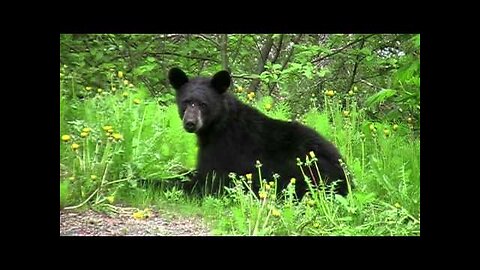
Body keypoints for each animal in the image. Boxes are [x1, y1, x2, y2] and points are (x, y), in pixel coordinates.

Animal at [169, 67, 352, 198]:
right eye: (186, 102)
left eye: (203, 104)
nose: (190, 123)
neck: (216, 127)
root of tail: (348, 178)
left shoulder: (226, 149)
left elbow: (208, 179)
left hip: (304, 169)